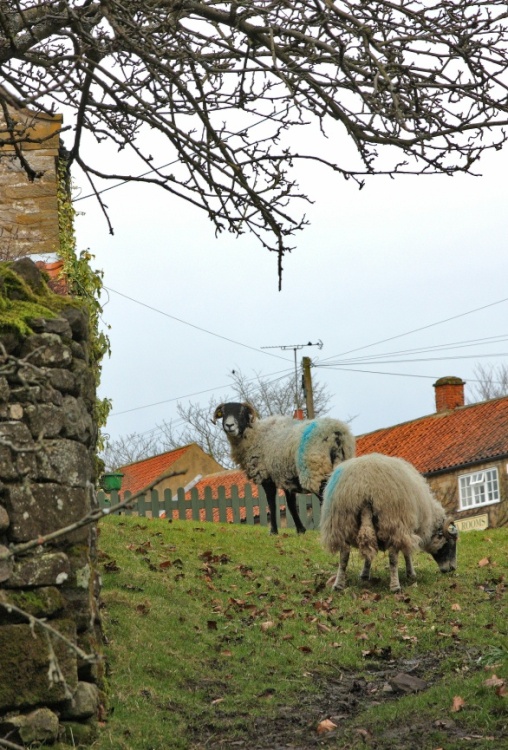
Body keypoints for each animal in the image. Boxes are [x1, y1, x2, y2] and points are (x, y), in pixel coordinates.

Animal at [212, 402, 356, 536]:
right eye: (223, 413)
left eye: (242, 412)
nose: (229, 425)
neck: (255, 434)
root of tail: (336, 433)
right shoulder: (286, 477)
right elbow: (291, 505)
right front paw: (300, 530)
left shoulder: (266, 476)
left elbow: (271, 503)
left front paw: (273, 531)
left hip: (316, 470)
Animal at [320, 452, 458, 592]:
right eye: (450, 543)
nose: (452, 569)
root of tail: (364, 486)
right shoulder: (408, 526)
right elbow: (407, 552)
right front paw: (411, 574)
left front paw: (364, 574)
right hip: (392, 521)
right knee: (393, 557)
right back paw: (395, 586)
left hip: (341, 521)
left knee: (344, 555)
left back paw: (338, 585)